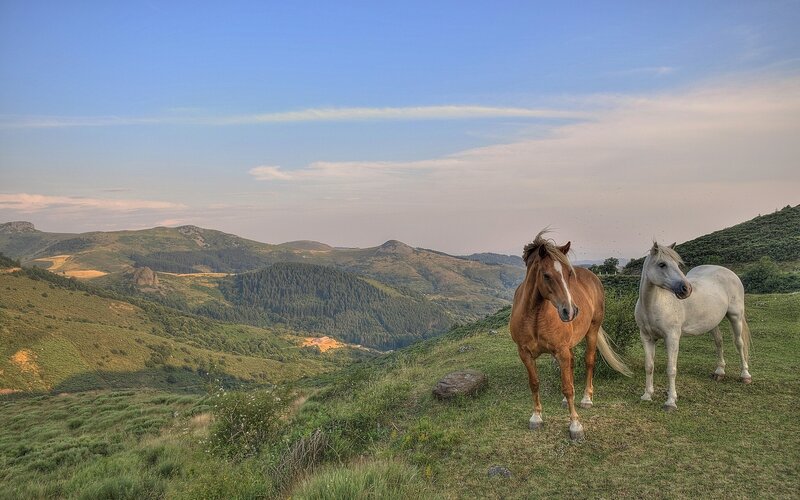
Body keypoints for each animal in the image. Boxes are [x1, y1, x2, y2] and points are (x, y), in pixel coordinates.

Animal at [510, 231, 632, 440]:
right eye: (546, 275)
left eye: (568, 274)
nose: (571, 311)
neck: (535, 316)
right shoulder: (525, 353)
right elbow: (534, 383)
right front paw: (536, 417)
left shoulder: (561, 351)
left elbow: (567, 387)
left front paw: (575, 425)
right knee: (573, 365)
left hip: (592, 331)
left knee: (589, 361)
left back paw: (586, 399)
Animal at [635, 242, 752, 411]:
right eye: (662, 264)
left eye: (677, 264)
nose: (686, 289)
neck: (653, 305)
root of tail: (728, 272)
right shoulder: (647, 338)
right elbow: (649, 366)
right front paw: (647, 395)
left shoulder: (672, 338)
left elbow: (671, 369)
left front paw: (671, 402)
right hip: (713, 322)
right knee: (719, 341)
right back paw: (719, 372)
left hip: (735, 317)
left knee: (739, 344)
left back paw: (745, 375)